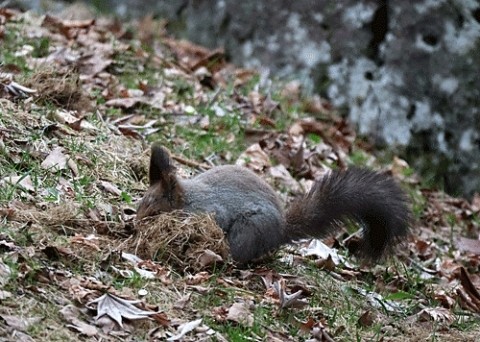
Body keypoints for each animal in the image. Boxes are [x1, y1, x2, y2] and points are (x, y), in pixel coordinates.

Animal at [137, 143, 410, 264]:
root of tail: (280, 232)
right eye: (141, 201)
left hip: (249, 229)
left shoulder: (211, 210)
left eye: (154, 205)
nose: (135, 222)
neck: (188, 199)